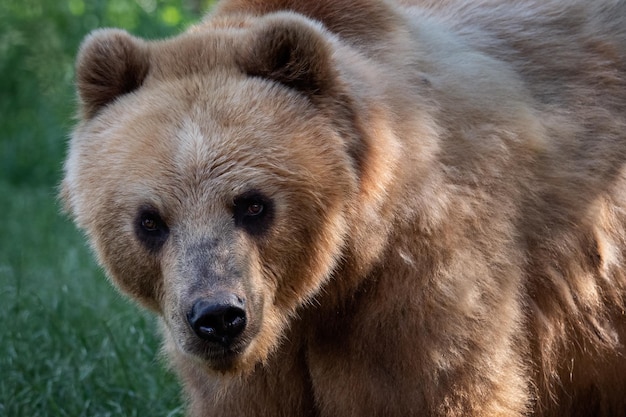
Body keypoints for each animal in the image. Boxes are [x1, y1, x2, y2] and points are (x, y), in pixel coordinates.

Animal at [62, 0, 624, 414]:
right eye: (150, 220)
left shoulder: (422, 288)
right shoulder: (247, 368)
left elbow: (444, 385)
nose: (218, 317)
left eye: (253, 204)